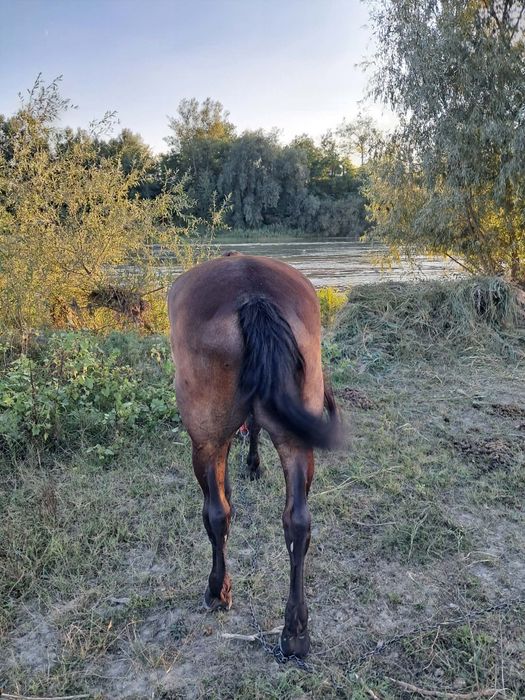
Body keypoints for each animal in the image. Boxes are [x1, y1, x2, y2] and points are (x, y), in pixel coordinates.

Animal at [168, 252, 340, 658]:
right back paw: (295, 632)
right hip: (296, 441)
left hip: (205, 439)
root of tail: (252, 296)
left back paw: (217, 591)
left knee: (217, 513)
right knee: (298, 522)